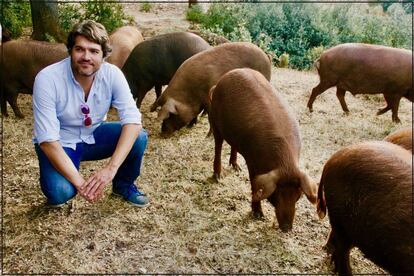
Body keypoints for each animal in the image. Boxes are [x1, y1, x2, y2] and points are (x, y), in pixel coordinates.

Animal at [210, 68, 316, 232]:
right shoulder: (251, 160)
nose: (287, 228)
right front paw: (258, 215)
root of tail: (223, 79)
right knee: (218, 146)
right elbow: (254, 185)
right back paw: (217, 176)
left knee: (233, 146)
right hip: (215, 121)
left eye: (297, 195)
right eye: (276, 195)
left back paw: (236, 168)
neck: (285, 163)